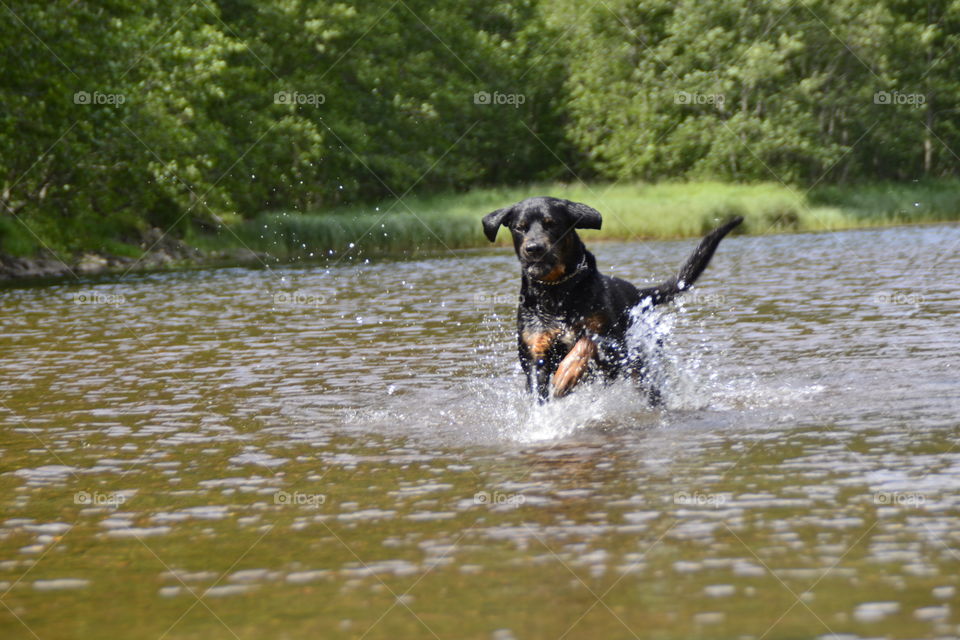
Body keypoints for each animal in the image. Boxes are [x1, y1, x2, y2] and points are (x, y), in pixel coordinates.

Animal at [480, 198, 744, 402]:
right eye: (520, 227)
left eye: (551, 223)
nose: (533, 248)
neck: (558, 292)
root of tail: (637, 293)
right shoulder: (535, 354)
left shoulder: (614, 341)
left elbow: (587, 341)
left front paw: (567, 373)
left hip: (642, 366)